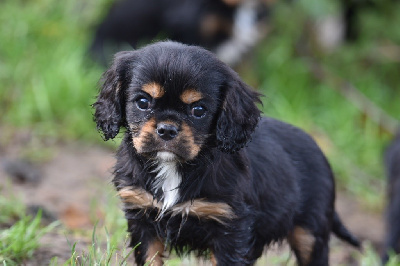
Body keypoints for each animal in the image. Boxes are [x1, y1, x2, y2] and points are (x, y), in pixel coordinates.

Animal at [93, 40, 360, 264]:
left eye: (199, 110)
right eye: (143, 102)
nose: (167, 129)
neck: (174, 167)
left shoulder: (231, 229)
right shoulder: (143, 218)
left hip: (310, 233)